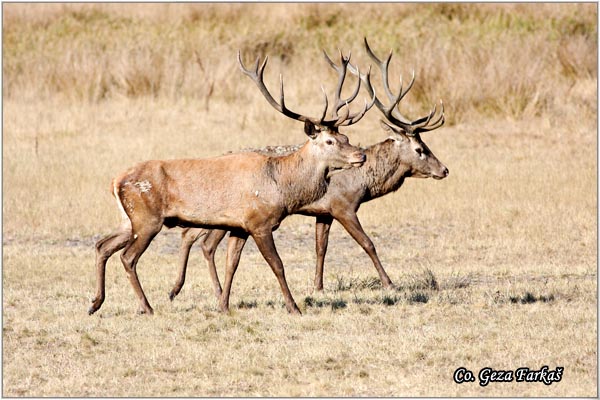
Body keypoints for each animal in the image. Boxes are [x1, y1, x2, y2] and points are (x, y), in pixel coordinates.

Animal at [166, 37, 448, 302]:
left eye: (346, 137)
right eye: (420, 149)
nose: (444, 170)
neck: (363, 185)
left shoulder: (323, 213)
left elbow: (320, 247)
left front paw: (318, 286)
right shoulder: (342, 206)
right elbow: (368, 243)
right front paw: (389, 283)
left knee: (193, 236)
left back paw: (183, 289)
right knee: (201, 240)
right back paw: (196, 289)